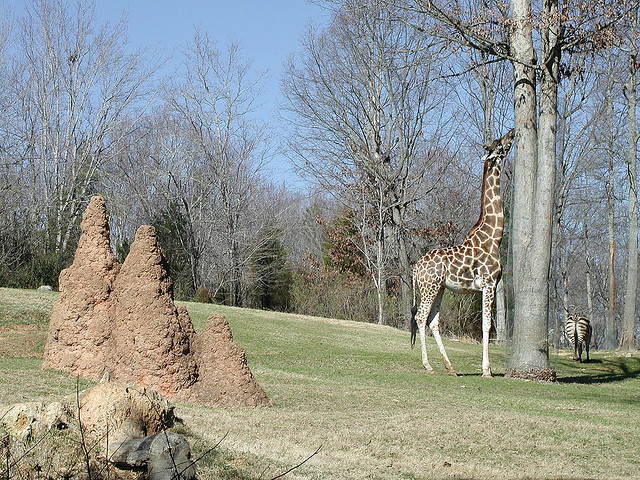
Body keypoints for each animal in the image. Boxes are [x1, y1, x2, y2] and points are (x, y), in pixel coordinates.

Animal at [411, 128, 514, 378]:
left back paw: (450, 367)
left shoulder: (490, 285)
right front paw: (487, 370)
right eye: (499, 144)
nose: (512, 132)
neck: (493, 237)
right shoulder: (488, 283)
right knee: (421, 317)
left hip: (439, 288)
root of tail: (415, 268)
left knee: (433, 321)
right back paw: (428, 365)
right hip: (429, 288)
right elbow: (487, 325)